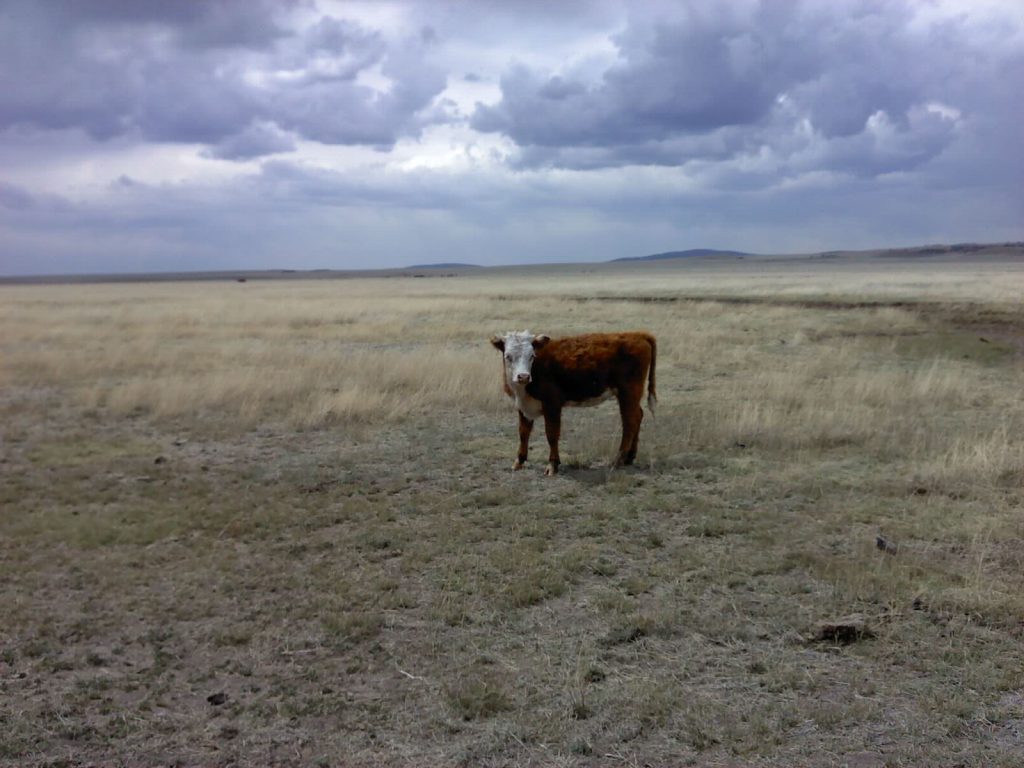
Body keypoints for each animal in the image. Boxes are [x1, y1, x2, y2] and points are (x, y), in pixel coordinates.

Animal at [487, 331, 655, 475]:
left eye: (531, 356)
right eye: (508, 356)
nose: (523, 376)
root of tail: (638, 334)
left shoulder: (552, 404)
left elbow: (552, 434)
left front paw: (552, 465)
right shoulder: (523, 406)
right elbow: (523, 433)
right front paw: (519, 461)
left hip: (628, 392)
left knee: (629, 422)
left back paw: (618, 460)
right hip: (631, 395)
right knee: (638, 415)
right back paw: (629, 457)